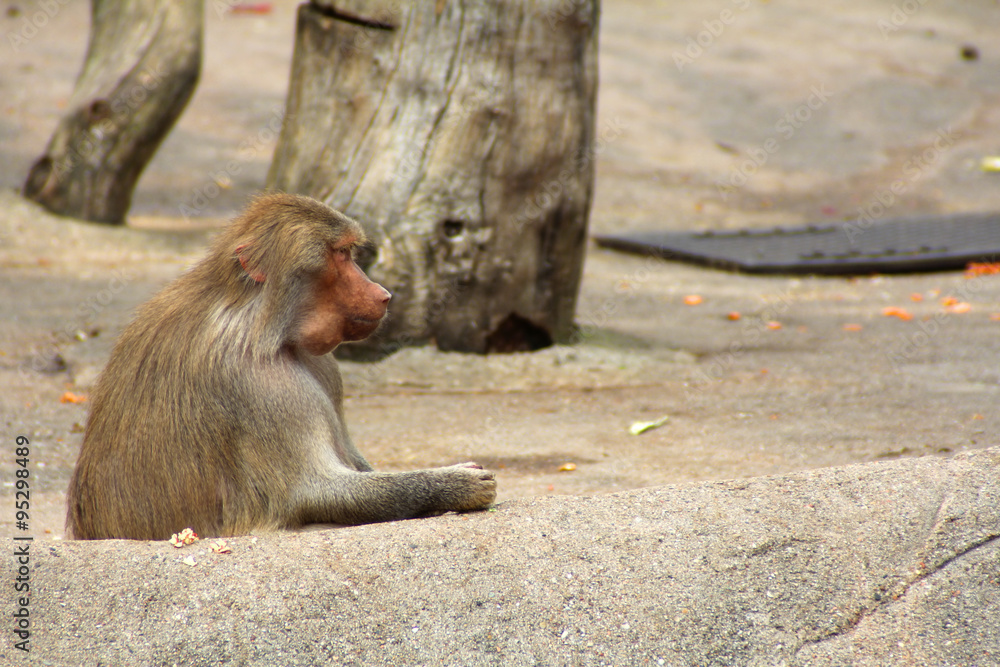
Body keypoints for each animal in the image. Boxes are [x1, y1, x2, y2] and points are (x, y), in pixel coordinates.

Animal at [66, 193, 496, 540]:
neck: (261, 322)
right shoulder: (256, 384)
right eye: (340, 255)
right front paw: (457, 483)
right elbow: (312, 491)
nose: (383, 294)